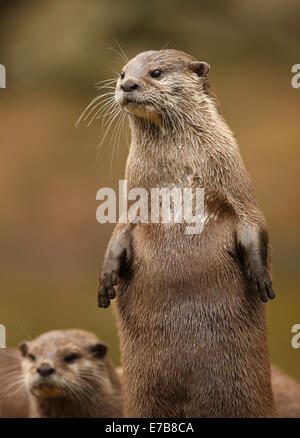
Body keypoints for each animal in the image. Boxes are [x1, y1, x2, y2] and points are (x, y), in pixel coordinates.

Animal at [96, 48, 276, 418]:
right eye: (122, 72)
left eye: (157, 72)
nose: (128, 84)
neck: (177, 184)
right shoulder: (130, 207)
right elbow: (117, 238)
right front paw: (106, 280)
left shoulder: (239, 193)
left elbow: (254, 226)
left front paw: (260, 276)